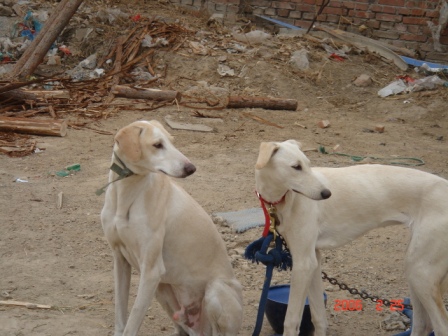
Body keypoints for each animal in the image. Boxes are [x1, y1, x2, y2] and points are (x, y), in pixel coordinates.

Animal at [101, 119, 243, 334]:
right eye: (157, 145)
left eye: (172, 141)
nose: (191, 168)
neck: (126, 193)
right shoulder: (120, 259)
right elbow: (121, 316)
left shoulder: (151, 271)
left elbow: (132, 323)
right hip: (162, 290)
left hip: (215, 290)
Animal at [256, 140, 448, 336]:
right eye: (296, 167)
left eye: (308, 164)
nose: (327, 194)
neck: (282, 200)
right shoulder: (312, 261)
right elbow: (319, 318)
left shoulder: (303, 263)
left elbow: (291, 321)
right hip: (414, 270)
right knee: (422, 324)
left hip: (421, 273)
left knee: (441, 326)